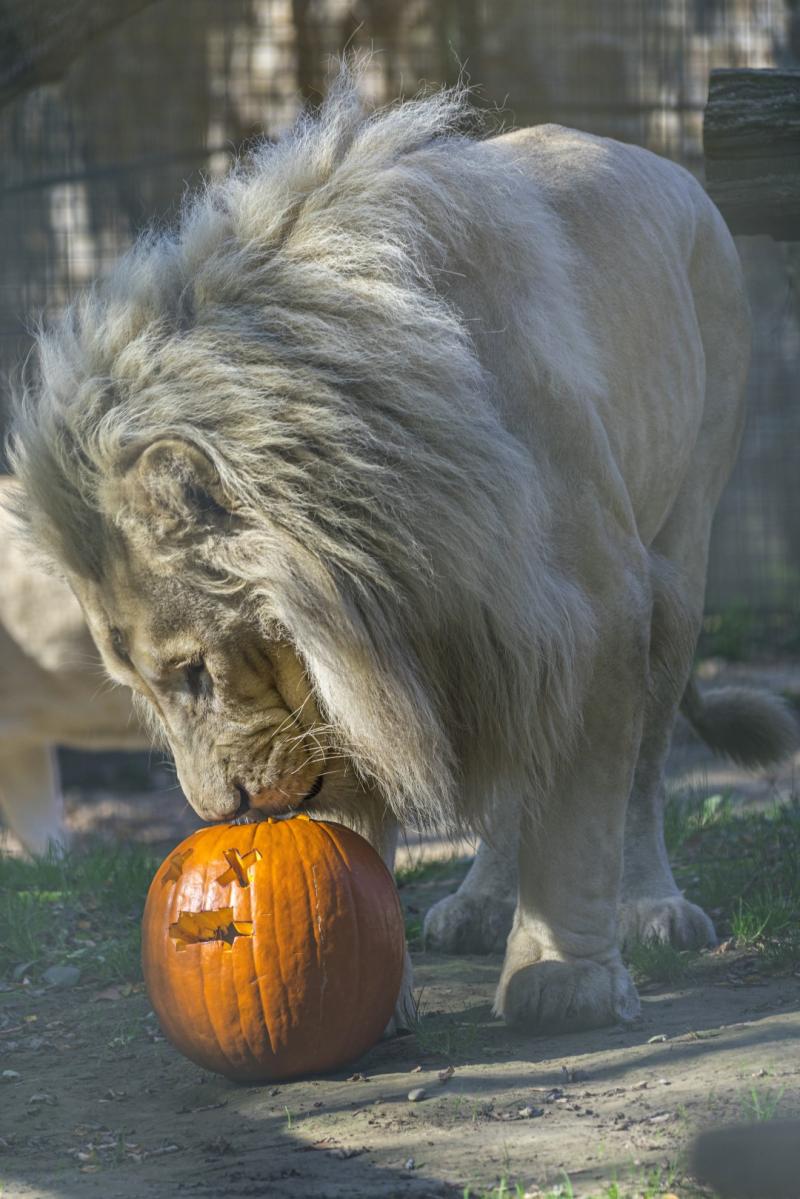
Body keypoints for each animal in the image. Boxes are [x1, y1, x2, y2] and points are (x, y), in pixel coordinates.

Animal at [9, 72, 796, 1031]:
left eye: (193, 671)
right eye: (144, 689)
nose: (222, 809)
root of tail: (667, 166)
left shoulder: (593, 609)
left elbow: (581, 812)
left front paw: (562, 980)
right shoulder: (369, 656)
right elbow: (354, 816)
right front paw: (374, 991)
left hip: (679, 559)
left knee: (643, 766)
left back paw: (650, 906)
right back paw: (481, 903)